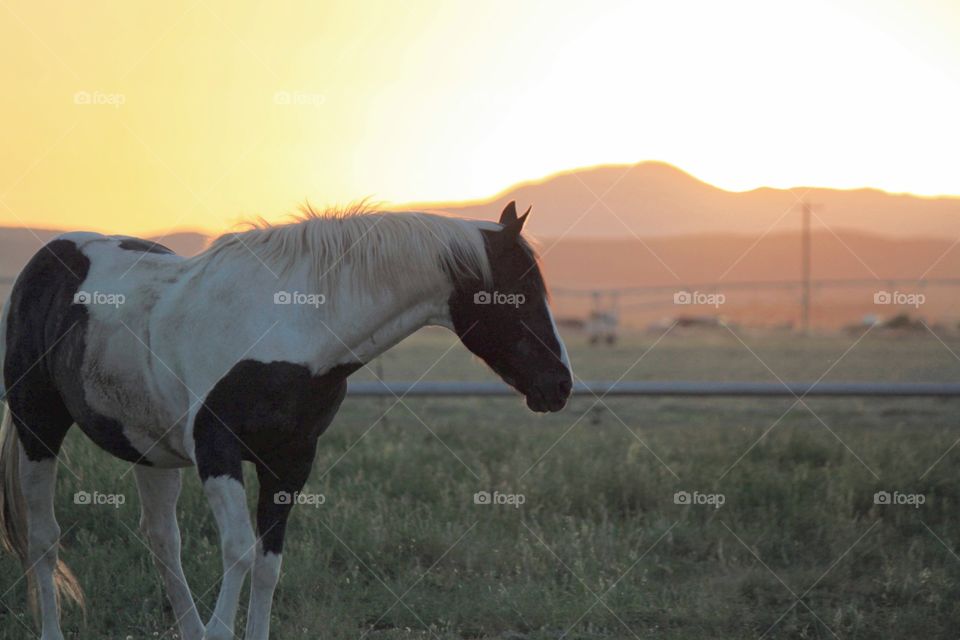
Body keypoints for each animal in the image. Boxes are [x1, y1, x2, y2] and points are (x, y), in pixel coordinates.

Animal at [0, 201, 568, 640]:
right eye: (517, 293)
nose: (560, 385)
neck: (292, 328)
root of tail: (51, 255)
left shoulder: (291, 461)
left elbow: (268, 564)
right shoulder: (217, 451)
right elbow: (238, 552)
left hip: (150, 449)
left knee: (162, 541)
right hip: (37, 427)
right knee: (44, 537)